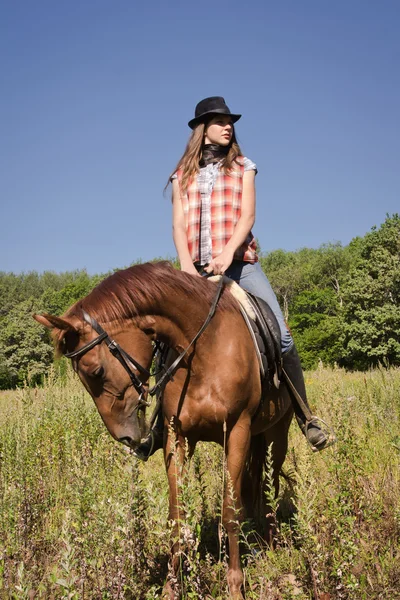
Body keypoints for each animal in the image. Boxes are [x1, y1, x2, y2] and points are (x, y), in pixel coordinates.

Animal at [34, 260, 292, 596]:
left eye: (96, 371)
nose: (125, 437)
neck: (205, 349)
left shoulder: (237, 430)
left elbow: (230, 512)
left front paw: (235, 585)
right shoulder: (177, 436)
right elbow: (176, 515)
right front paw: (172, 586)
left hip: (277, 436)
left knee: (270, 486)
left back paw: (271, 546)